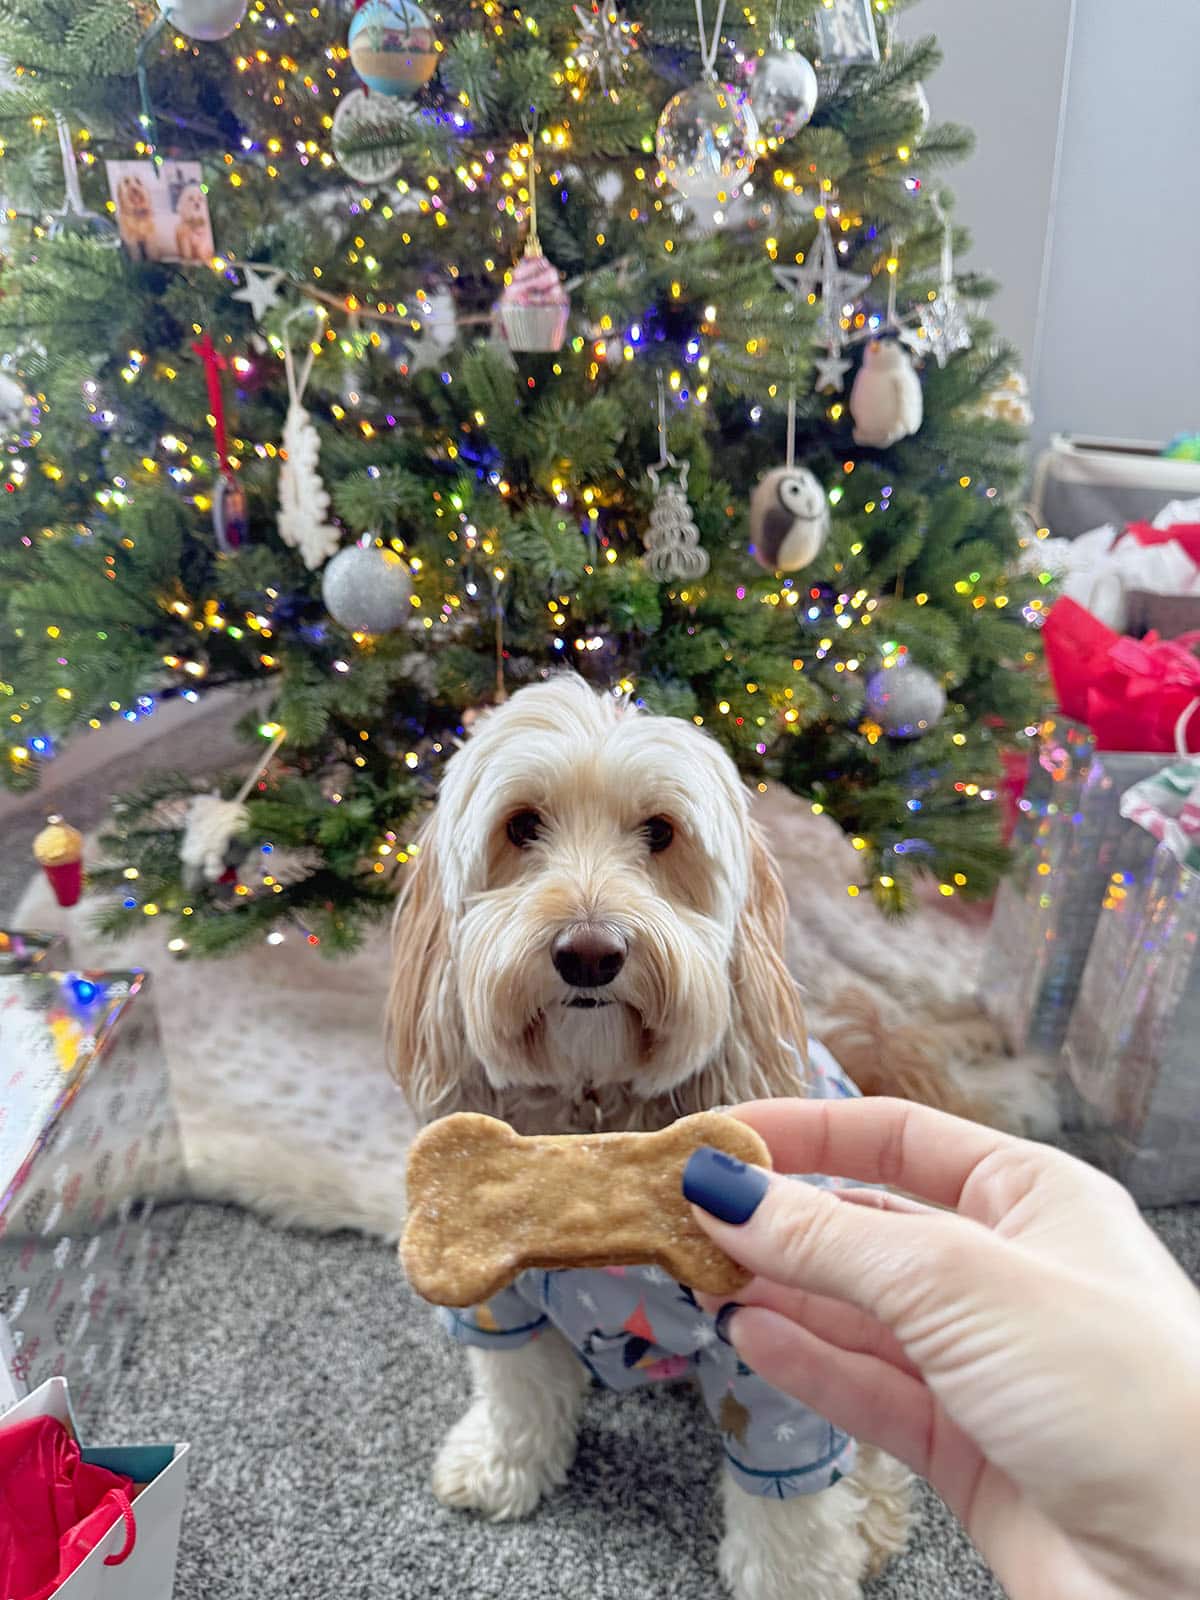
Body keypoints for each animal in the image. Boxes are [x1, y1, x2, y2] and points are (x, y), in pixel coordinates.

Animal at [390, 681, 915, 1600]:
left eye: (661, 833)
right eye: (521, 826)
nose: (590, 954)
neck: (599, 1115)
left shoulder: (771, 1351)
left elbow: (790, 1494)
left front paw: (795, 1580)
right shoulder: (499, 1296)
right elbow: (516, 1388)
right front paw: (501, 1463)